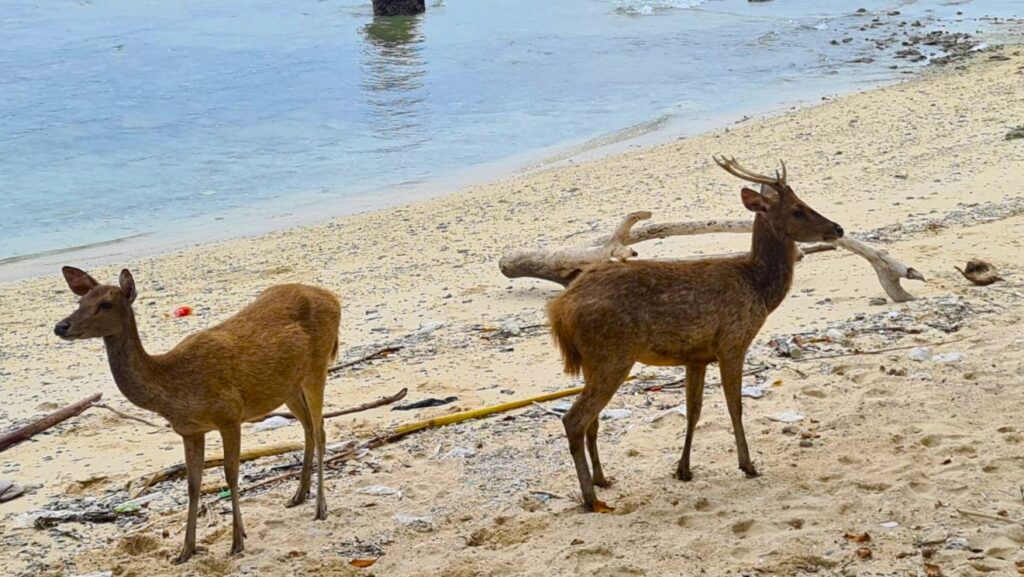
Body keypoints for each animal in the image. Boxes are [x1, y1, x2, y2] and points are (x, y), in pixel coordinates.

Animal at [54, 268, 342, 561]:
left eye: (106, 304)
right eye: (80, 301)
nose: (61, 326)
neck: (174, 387)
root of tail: (333, 297)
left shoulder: (230, 413)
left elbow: (231, 474)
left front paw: (237, 541)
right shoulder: (190, 430)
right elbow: (193, 485)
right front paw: (186, 550)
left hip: (318, 366)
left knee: (320, 431)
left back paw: (320, 507)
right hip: (289, 387)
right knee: (309, 427)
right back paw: (299, 495)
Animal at [548, 155, 843, 512]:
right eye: (798, 209)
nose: (838, 228)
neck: (759, 289)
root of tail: (559, 308)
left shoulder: (697, 356)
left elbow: (694, 411)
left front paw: (683, 469)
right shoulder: (733, 342)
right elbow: (734, 406)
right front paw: (748, 465)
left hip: (595, 361)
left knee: (592, 418)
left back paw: (602, 479)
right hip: (611, 354)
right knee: (575, 418)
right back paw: (592, 499)